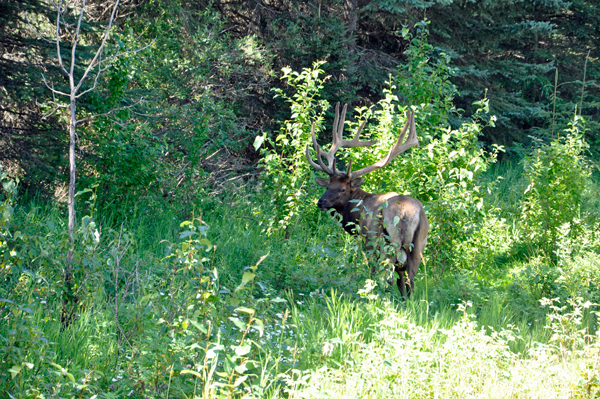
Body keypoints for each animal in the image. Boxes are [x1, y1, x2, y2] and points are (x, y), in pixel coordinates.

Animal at [308, 104, 428, 298]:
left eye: (342, 189)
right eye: (328, 186)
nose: (321, 202)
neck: (356, 214)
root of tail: (408, 213)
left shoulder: (368, 241)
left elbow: (373, 272)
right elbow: (402, 283)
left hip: (388, 242)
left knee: (387, 276)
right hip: (418, 246)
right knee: (409, 281)